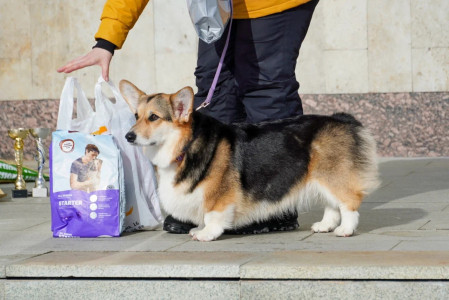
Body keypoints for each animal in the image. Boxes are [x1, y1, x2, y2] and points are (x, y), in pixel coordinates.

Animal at [118, 79, 378, 241]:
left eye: (154, 117)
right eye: (136, 116)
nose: (128, 136)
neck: (185, 145)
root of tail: (343, 119)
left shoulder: (218, 194)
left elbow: (213, 214)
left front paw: (206, 233)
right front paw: (199, 229)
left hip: (333, 175)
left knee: (348, 203)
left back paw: (345, 229)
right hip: (321, 178)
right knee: (332, 204)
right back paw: (325, 226)